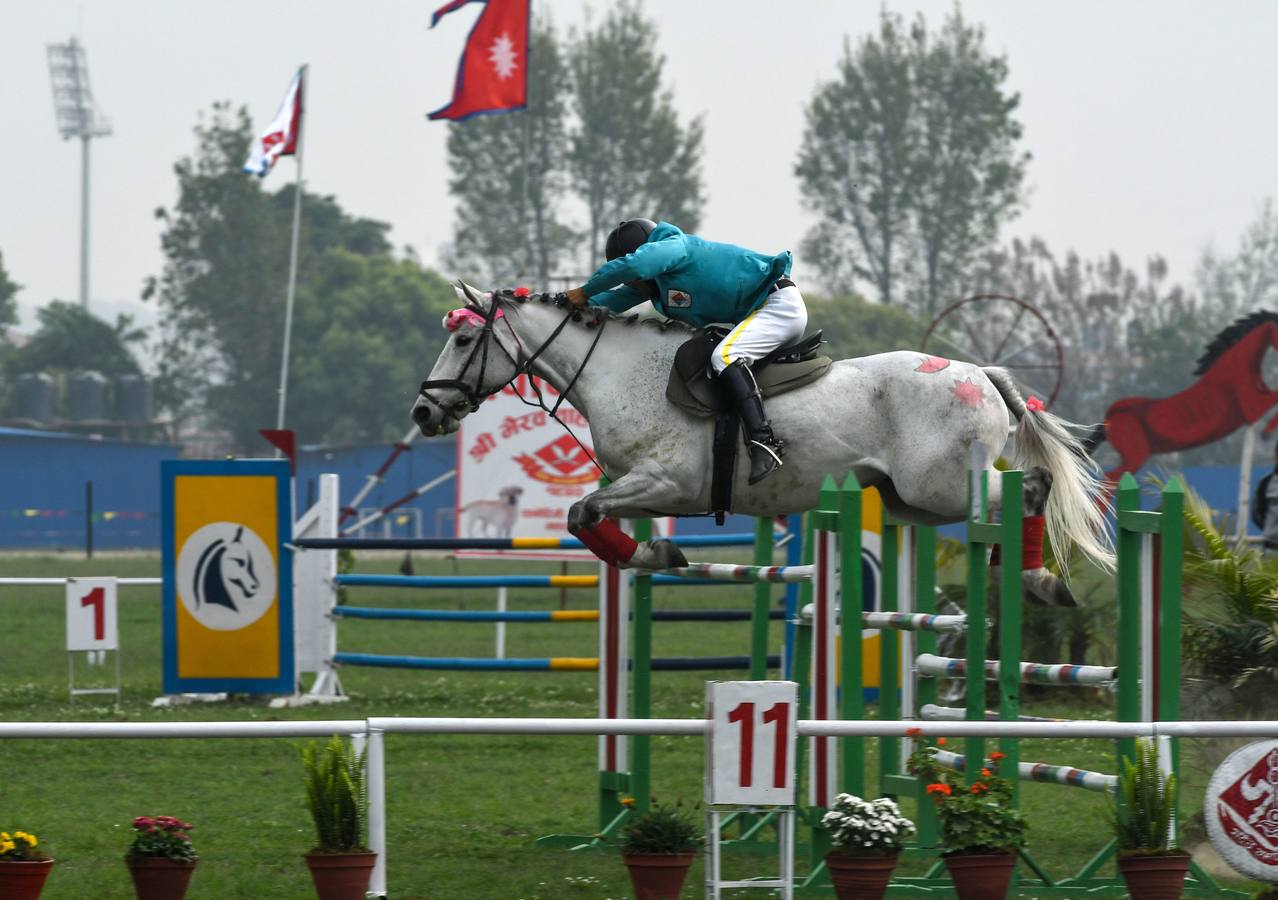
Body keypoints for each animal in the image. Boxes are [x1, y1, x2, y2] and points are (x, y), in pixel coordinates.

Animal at [408, 285, 1109, 572]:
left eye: (464, 339)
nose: (423, 412)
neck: (616, 371)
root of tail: (980, 373)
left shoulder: (666, 484)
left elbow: (582, 512)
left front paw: (654, 555)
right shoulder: (645, 491)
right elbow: (586, 517)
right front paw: (652, 556)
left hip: (939, 485)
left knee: (1031, 487)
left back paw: (1029, 576)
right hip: (911, 501)